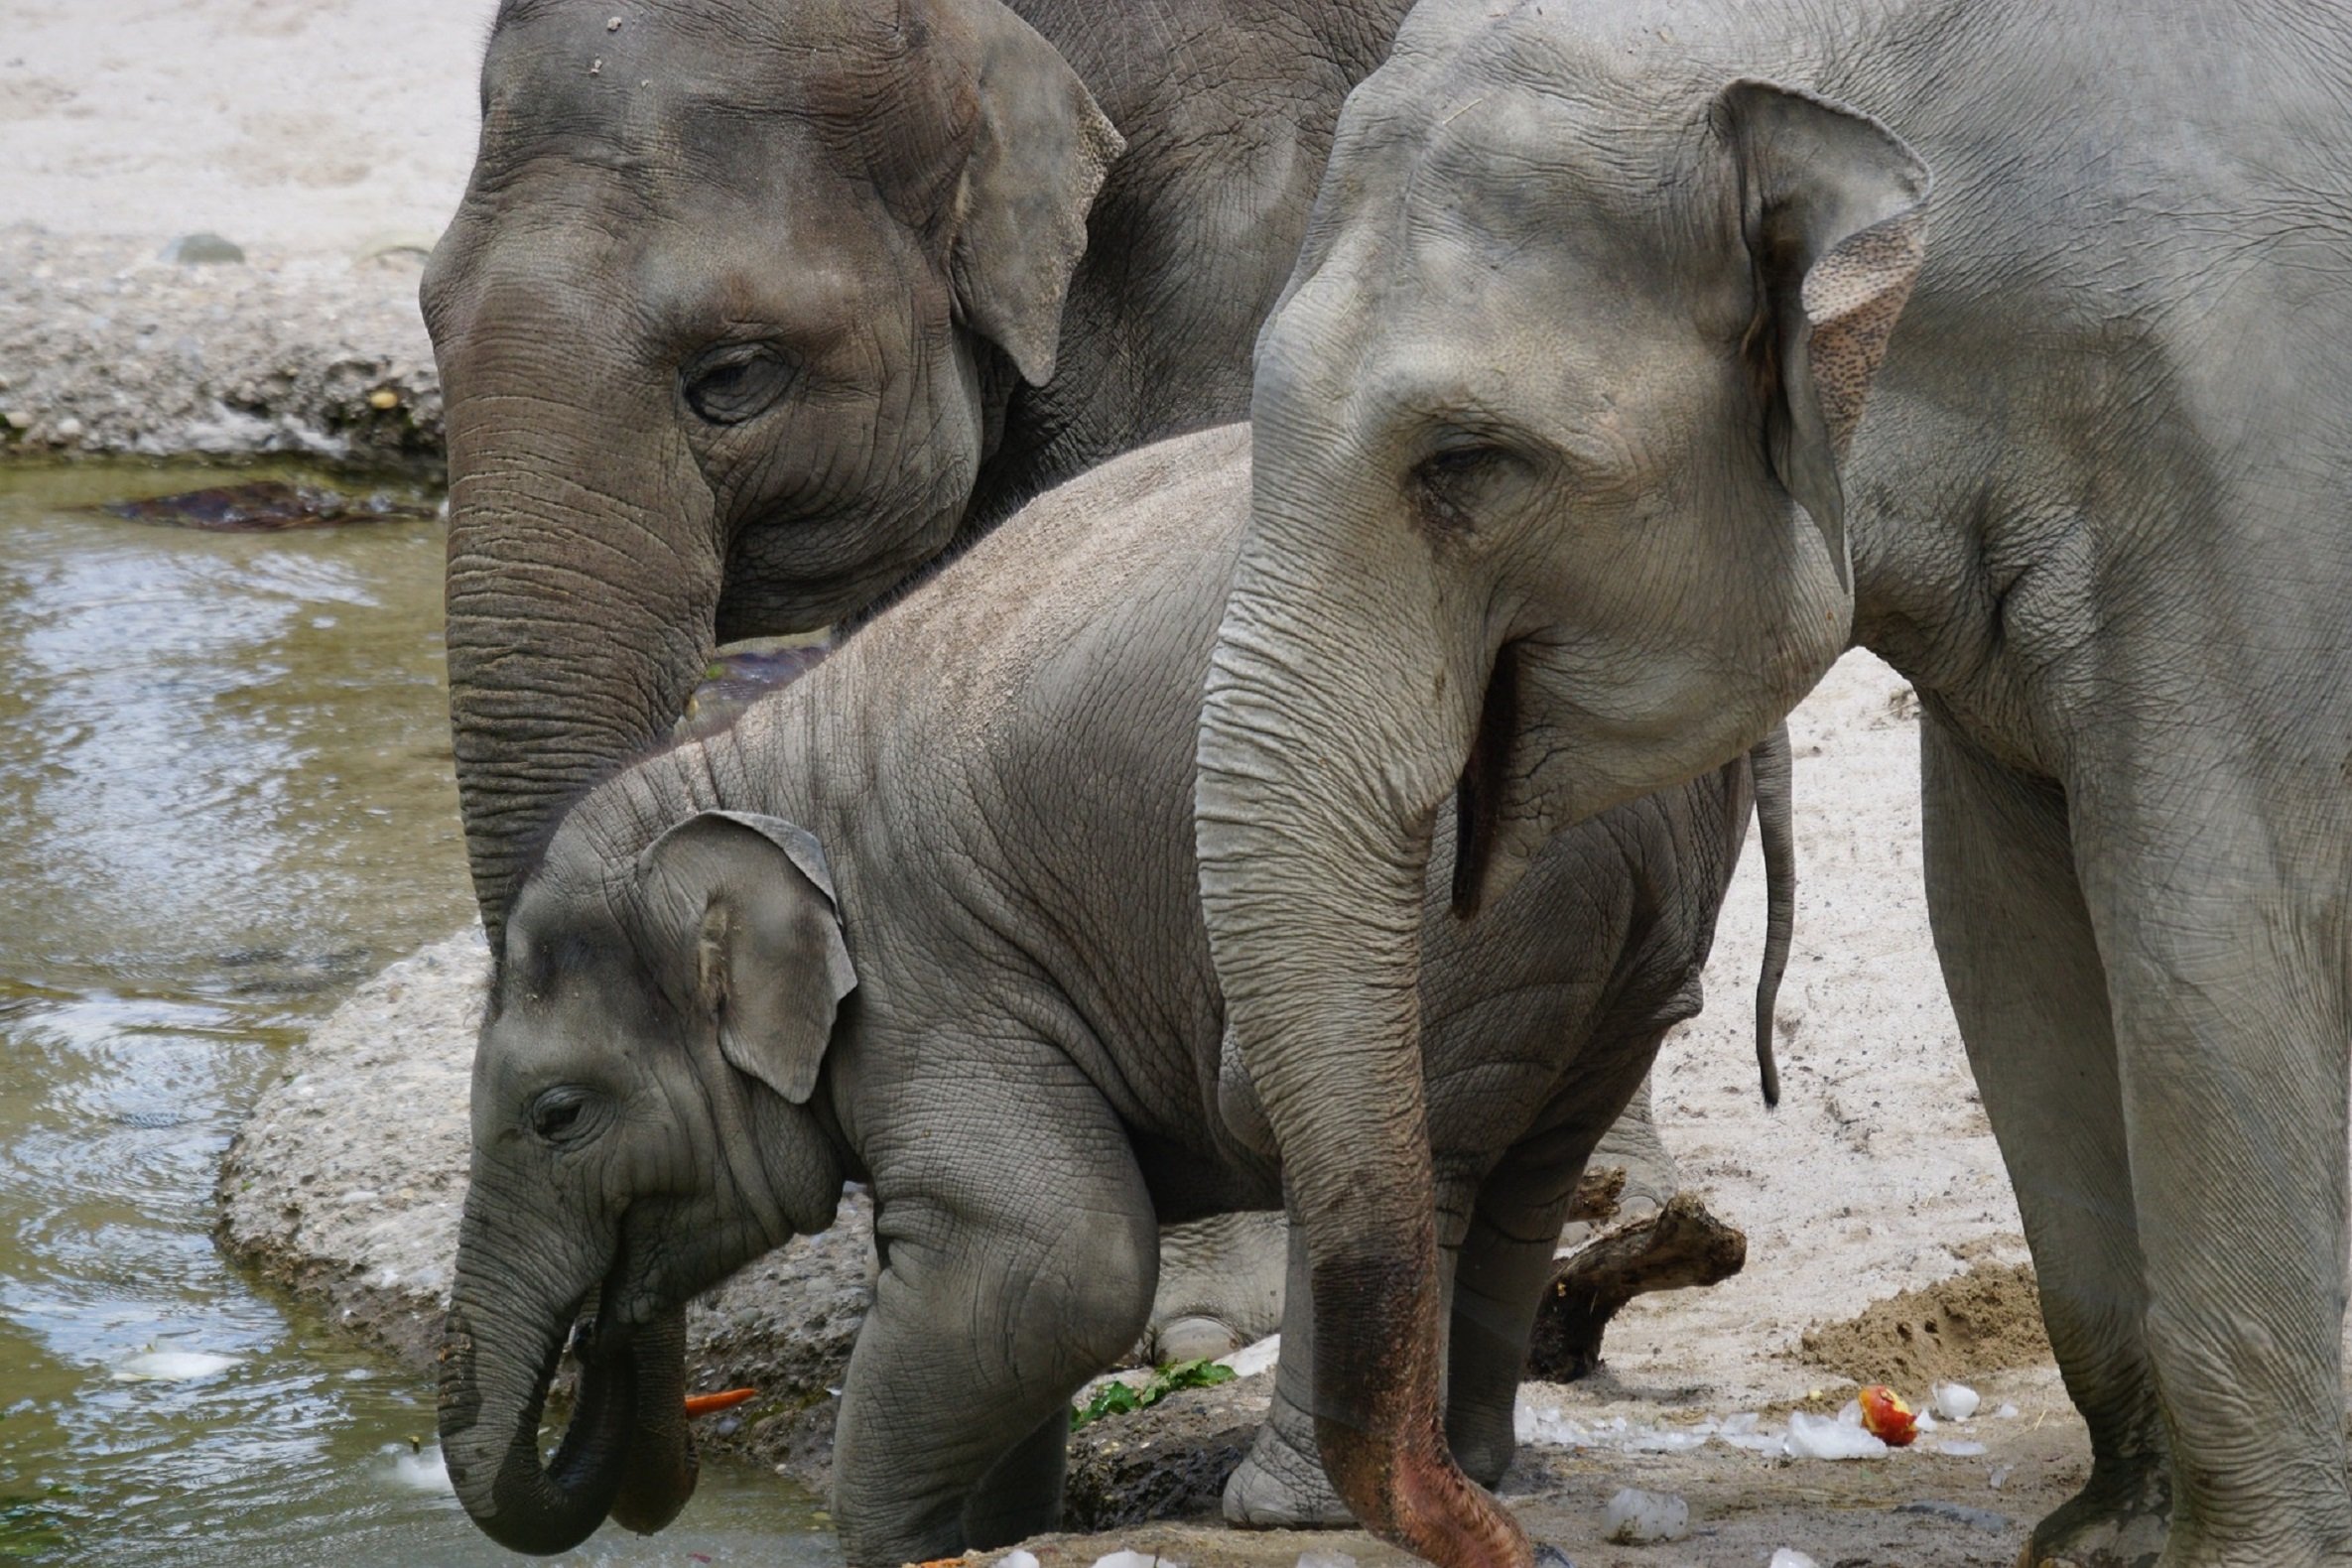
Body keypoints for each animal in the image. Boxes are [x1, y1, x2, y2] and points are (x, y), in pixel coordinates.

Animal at [442, 423, 1768, 1560]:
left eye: (557, 1114)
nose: (607, 1323)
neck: (741, 758)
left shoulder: (940, 982)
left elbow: (1050, 1258)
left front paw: (891, 1543)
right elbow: (1005, 1289)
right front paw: (994, 1530)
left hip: (1426, 900)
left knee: (1393, 1144)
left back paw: (1291, 1507)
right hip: (1606, 923)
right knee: (1529, 1168)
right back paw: (1481, 1471)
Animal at [1204, 3, 2352, 1568]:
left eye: (1465, 460)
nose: (1518, 1531)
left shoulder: (2250, 456)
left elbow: (2209, 934)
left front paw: (2244, 1554)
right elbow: (2006, 940)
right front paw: (2100, 1538)